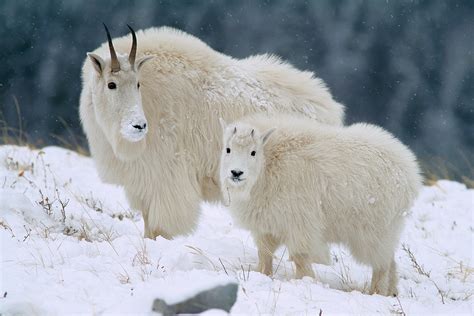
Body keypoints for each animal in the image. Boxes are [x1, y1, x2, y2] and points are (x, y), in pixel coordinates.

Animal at [78, 24, 344, 238]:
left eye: (138, 84)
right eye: (111, 84)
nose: (138, 126)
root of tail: (331, 109)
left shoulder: (167, 177)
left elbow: (160, 227)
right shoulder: (142, 181)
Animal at [219, 114, 422, 296]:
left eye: (253, 152)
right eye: (228, 149)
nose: (236, 173)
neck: (269, 164)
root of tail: (410, 174)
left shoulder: (300, 222)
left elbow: (300, 255)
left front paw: (304, 280)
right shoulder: (267, 224)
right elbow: (264, 253)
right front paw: (262, 273)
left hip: (374, 230)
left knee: (382, 263)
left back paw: (376, 292)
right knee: (390, 259)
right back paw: (391, 292)